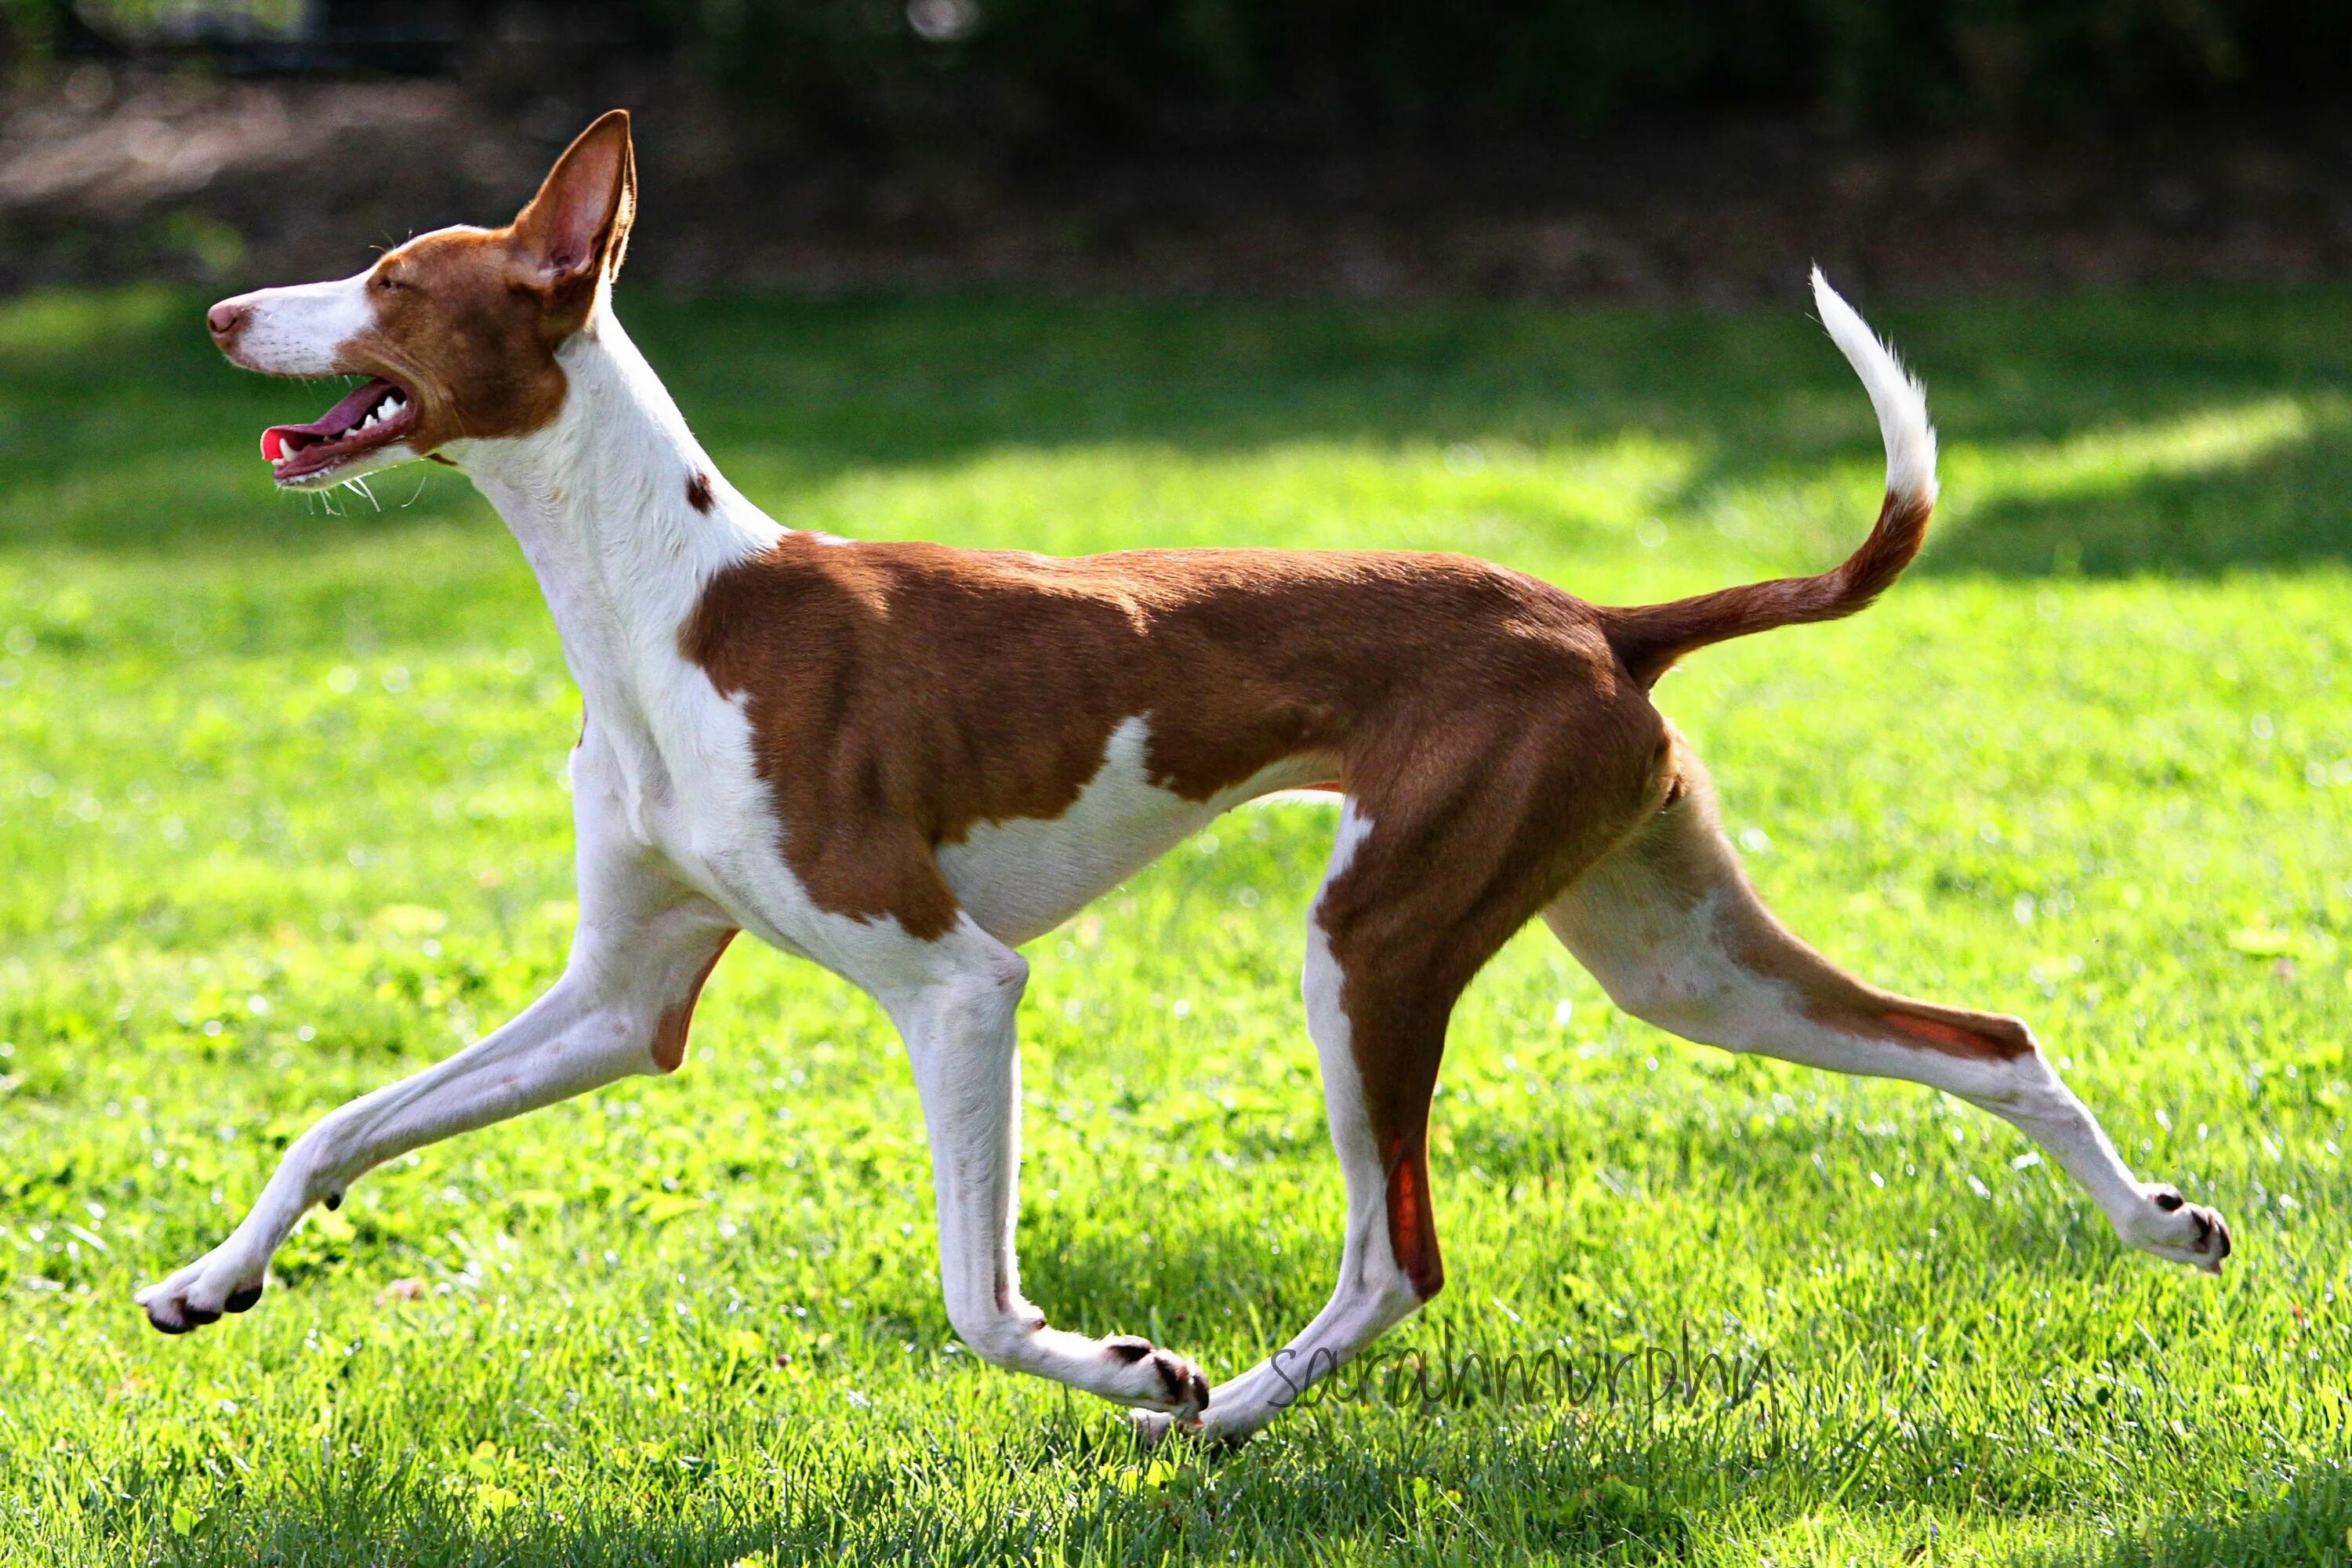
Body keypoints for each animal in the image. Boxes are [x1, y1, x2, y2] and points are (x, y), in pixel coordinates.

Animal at [137, 113, 2230, 1448]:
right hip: (1671, 959)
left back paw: (1223, 1413)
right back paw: (2160, 1224)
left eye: (390, 276)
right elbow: (335, 1125)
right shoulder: (615, 1002)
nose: (222, 313)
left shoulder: (955, 982)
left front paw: (1132, 1365)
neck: (666, 593)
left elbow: (977, 1297)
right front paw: (204, 1284)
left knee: (1399, 1258)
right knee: (1986, 1036)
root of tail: (1595, 618)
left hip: (1368, 944)